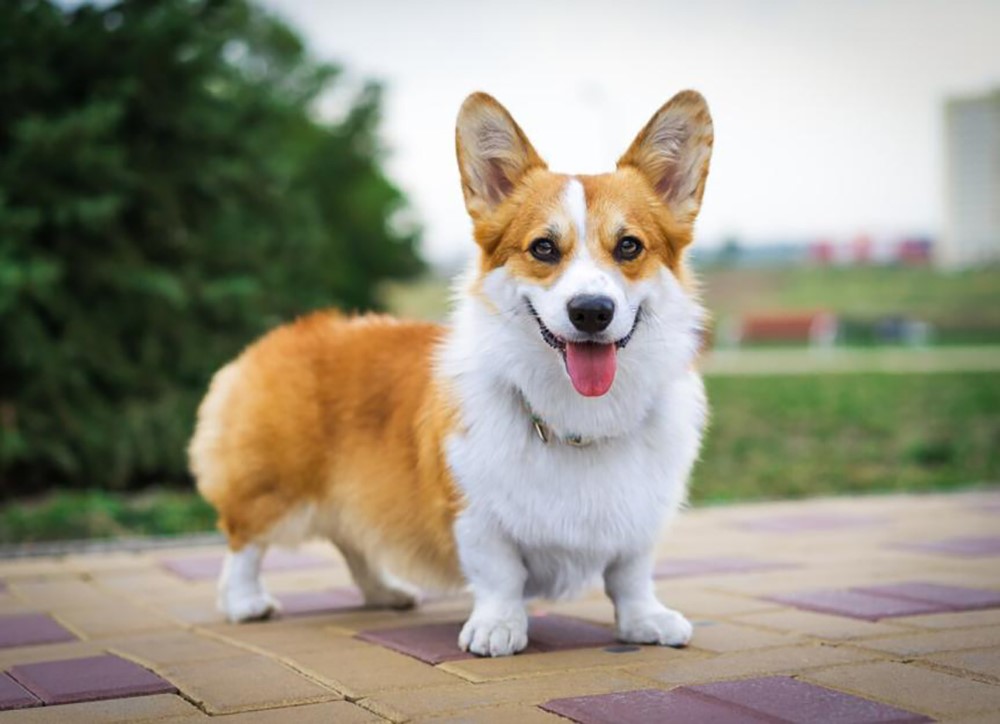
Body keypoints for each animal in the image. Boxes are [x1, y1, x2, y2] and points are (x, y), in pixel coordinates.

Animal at [188, 90, 712, 656]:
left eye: (629, 246)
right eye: (543, 248)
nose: (591, 311)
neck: (578, 419)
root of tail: (281, 336)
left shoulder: (639, 517)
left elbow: (630, 575)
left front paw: (646, 621)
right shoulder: (475, 511)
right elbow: (500, 574)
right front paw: (498, 627)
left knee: (354, 539)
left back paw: (386, 592)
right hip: (275, 488)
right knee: (244, 539)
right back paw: (245, 602)